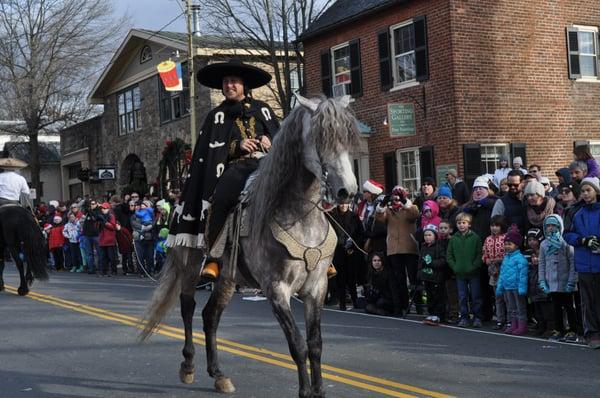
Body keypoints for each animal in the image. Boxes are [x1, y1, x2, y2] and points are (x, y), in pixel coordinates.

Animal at [140, 95, 356, 396]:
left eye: (348, 137)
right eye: (320, 138)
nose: (347, 191)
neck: (299, 217)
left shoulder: (317, 288)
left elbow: (315, 346)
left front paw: (319, 390)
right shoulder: (276, 289)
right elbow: (298, 346)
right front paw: (305, 391)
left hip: (227, 277)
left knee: (210, 316)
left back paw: (219, 375)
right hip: (190, 264)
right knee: (188, 307)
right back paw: (189, 366)